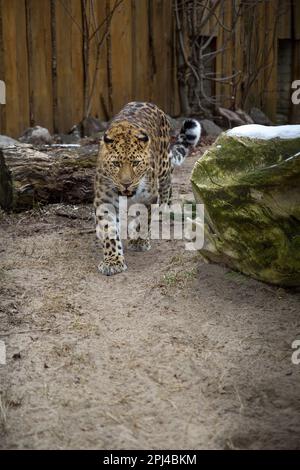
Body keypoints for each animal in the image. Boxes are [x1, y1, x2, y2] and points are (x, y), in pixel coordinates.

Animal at [94, 101, 202, 274]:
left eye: (135, 163)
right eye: (116, 163)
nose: (126, 183)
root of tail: (146, 102)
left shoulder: (148, 197)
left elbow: (144, 220)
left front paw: (139, 241)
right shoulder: (104, 201)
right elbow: (109, 231)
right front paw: (113, 261)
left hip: (164, 166)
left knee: (167, 186)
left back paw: (163, 210)